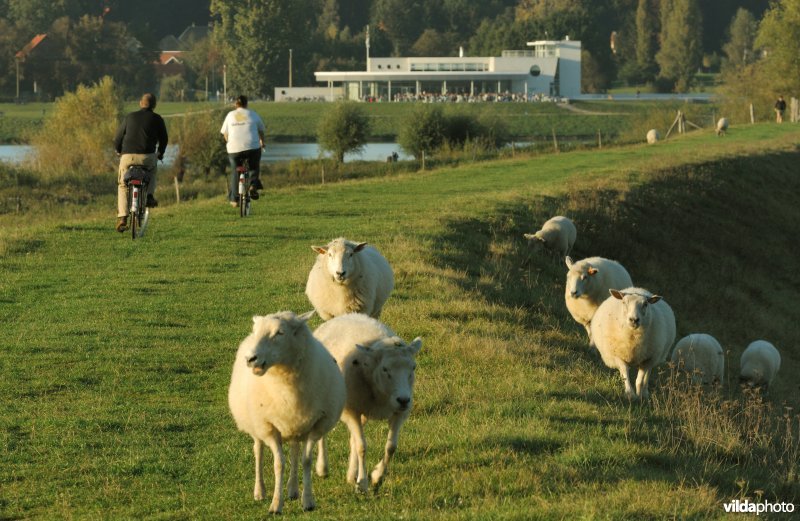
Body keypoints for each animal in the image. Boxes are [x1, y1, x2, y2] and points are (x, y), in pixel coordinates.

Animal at [228, 308, 346, 512]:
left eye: (280, 333)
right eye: (256, 330)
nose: (250, 359)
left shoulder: (316, 425)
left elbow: (306, 461)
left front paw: (308, 501)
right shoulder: (268, 427)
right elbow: (279, 464)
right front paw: (276, 504)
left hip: (295, 424)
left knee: (294, 450)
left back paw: (292, 490)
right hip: (256, 425)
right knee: (258, 451)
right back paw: (260, 491)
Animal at [310, 312, 424, 492]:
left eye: (413, 367)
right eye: (385, 369)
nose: (404, 400)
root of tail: (344, 316)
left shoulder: (399, 413)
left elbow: (391, 447)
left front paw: (377, 477)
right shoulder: (351, 411)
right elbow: (362, 447)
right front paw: (363, 483)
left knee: (353, 439)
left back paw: (351, 475)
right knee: (323, 432)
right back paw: (322, 468)